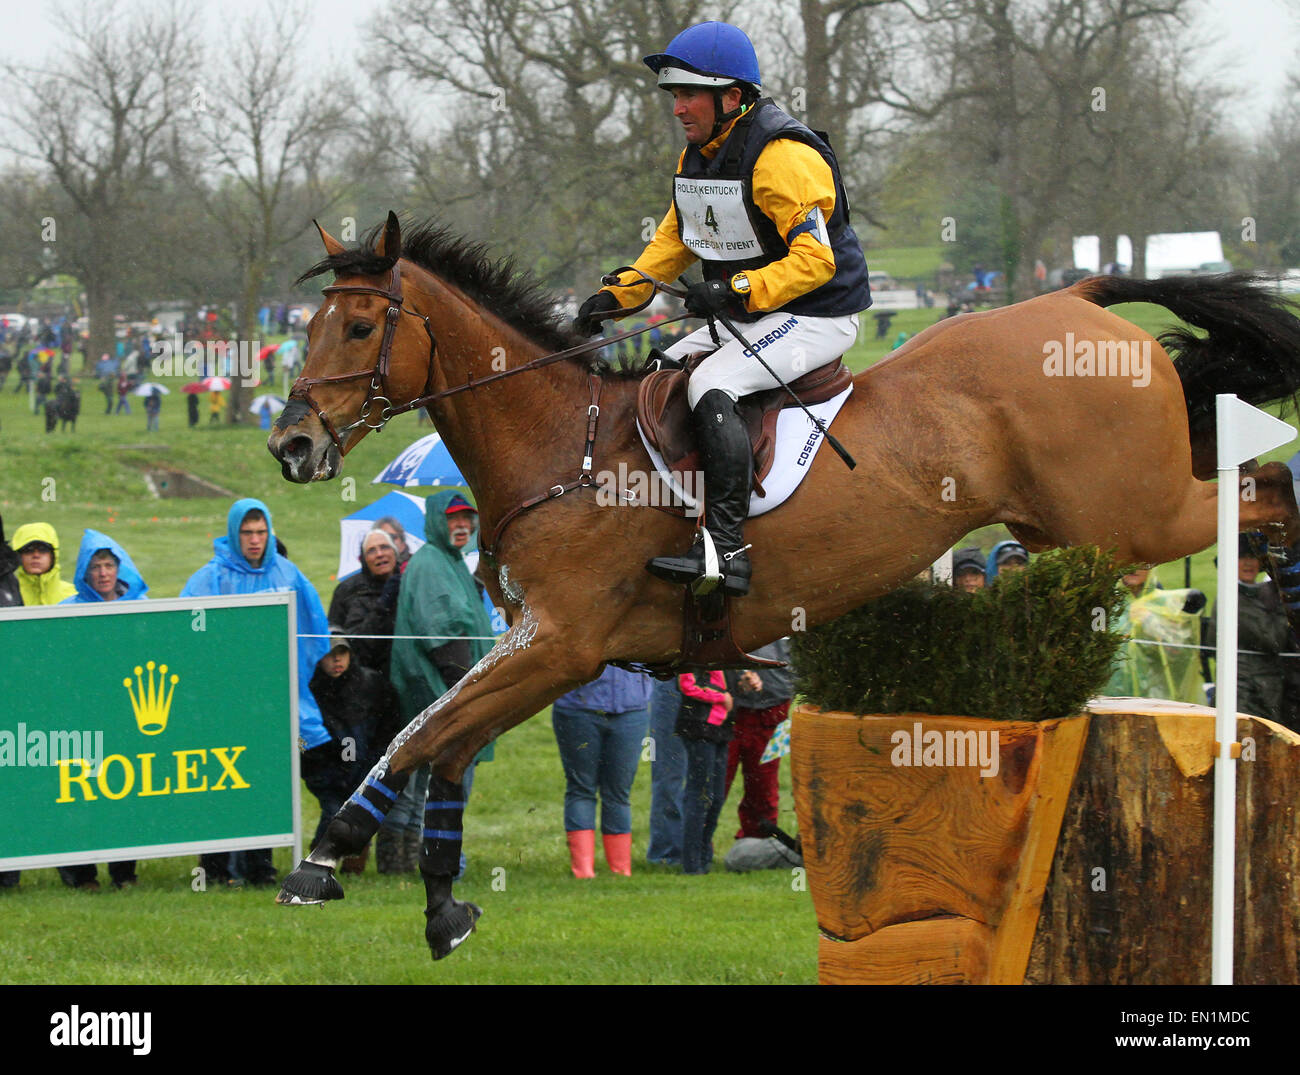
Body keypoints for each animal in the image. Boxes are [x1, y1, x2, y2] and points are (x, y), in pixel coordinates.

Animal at [263, 211, 1300, 956]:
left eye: (360, 325)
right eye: (307, 329)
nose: (291, 446)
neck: (564, 448)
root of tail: (1077, 297)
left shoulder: (560, 641)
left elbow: (416, 735)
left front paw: (326, 854)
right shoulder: (552, 653)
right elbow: (440, 744)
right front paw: (439, 903)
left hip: (1132, 513)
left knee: (1261, 485)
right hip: (1071, 524)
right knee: (1252, 486)